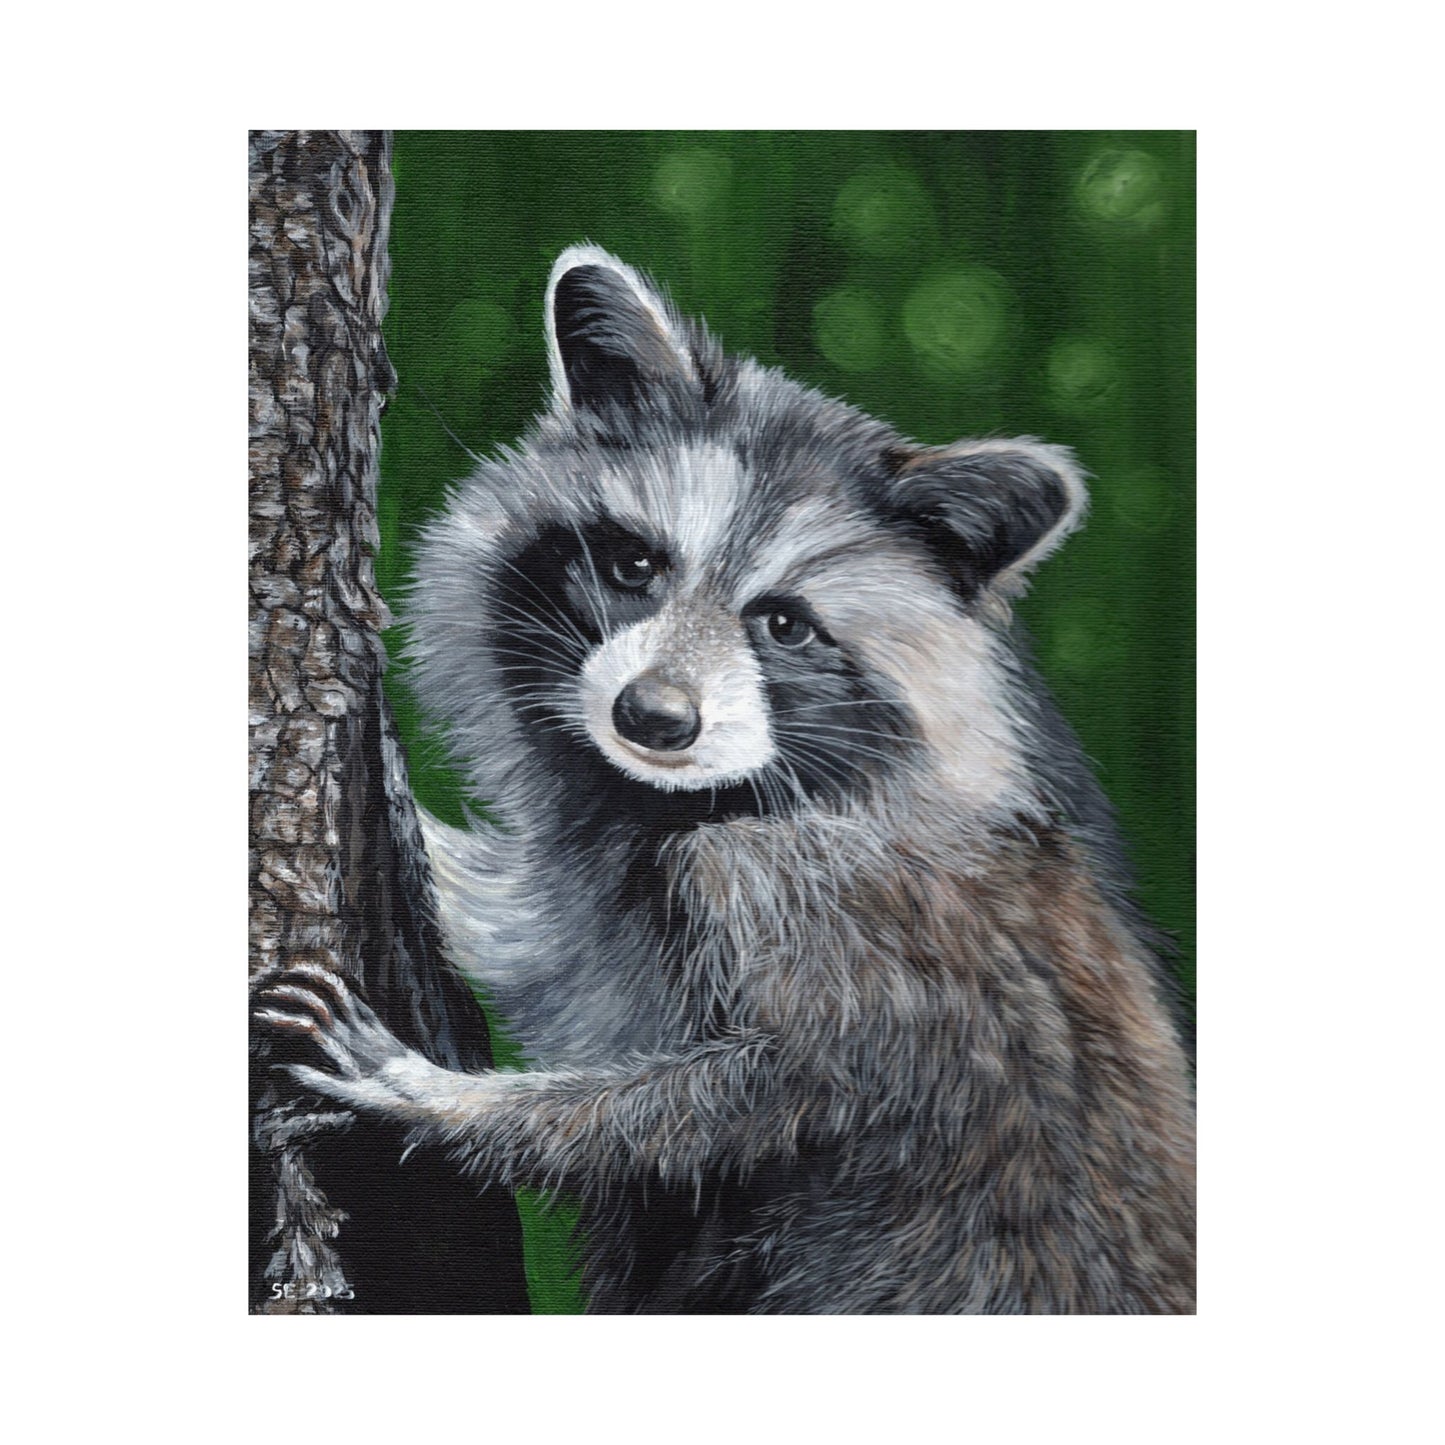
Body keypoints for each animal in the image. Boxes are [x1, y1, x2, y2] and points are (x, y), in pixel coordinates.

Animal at [256, 245, 1196, 1313]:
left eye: (784, 624)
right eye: (633, 564)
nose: (653, 717)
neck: (683, 798)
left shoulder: (832, 908)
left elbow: (757, 1093)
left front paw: (444, 1100)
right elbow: (536, 933)